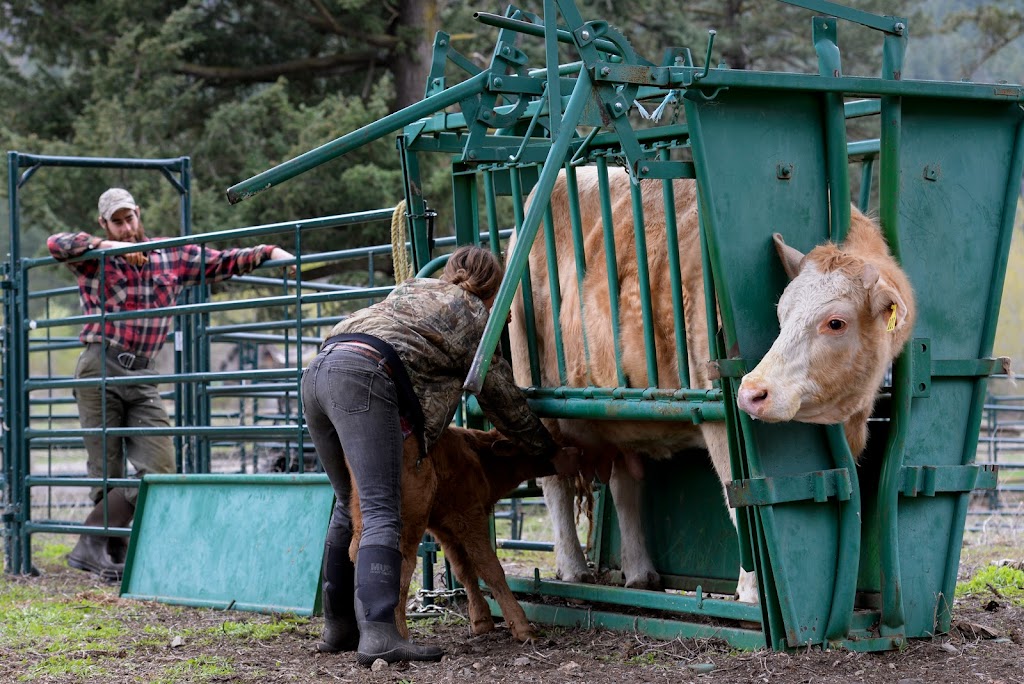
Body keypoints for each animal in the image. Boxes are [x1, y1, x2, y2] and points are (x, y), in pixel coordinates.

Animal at [507, 167, 917, 602]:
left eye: (836, 322)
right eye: (781, 314)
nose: (752, 392)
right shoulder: (720, 421)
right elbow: (742, 504)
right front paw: (753, 593)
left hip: (617, 415)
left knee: (624, 484)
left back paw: (639, 572)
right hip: (536, 397)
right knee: (555, 482)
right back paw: (572, 568)